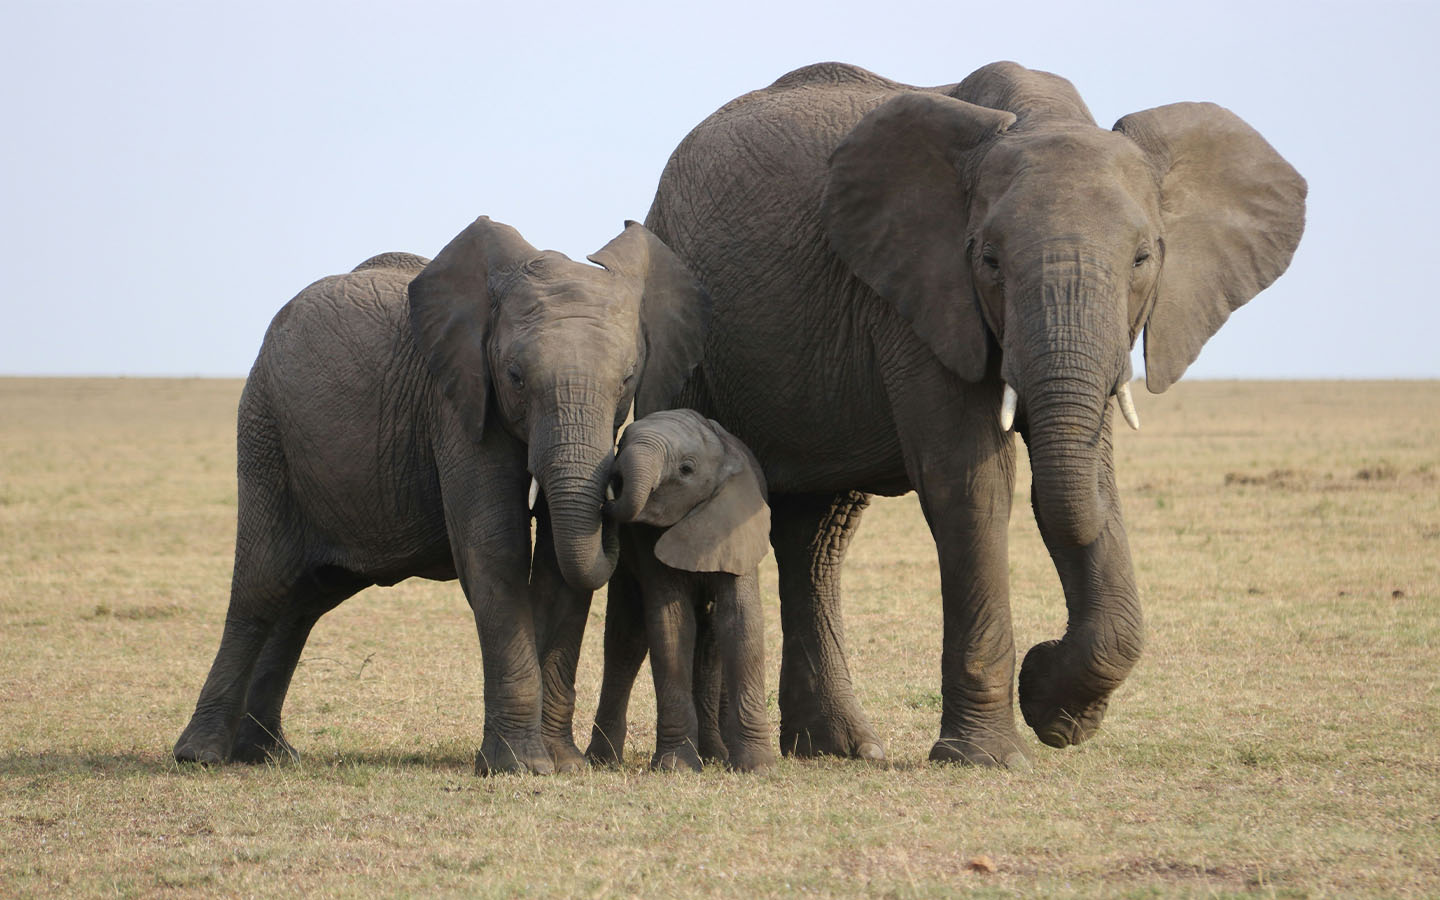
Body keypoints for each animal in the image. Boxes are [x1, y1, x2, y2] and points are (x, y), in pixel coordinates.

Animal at [584, 411, 777, 766]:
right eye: (621, 443)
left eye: (686, 469)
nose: (611, 485)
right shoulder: (646, 539)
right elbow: (672, 625)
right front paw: (676, 766)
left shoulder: (735, 524)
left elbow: (740, 621)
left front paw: (758, 766)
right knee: (625, 640)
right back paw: (602, 760)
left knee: (710, 642)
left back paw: (714, 755)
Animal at [648, 63, 1313, 766]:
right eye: (989, 259)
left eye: (1143, 259)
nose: (1043, 659)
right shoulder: (919, 295)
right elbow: (972, 483)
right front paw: (993, 754)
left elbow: (1086, 484)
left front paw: (1060, 714)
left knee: (818, 534)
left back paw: (842, 749)